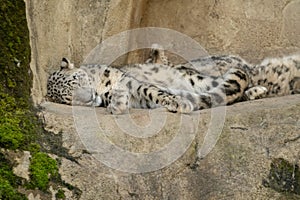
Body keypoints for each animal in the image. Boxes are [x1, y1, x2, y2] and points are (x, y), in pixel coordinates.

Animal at [46, 46, 300, 114]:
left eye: (78, 79)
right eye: (69, 99)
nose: (90, 96)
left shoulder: (131, 82)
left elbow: (151, 90)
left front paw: (178, 102)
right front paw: (118, 103)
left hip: (197, 78)